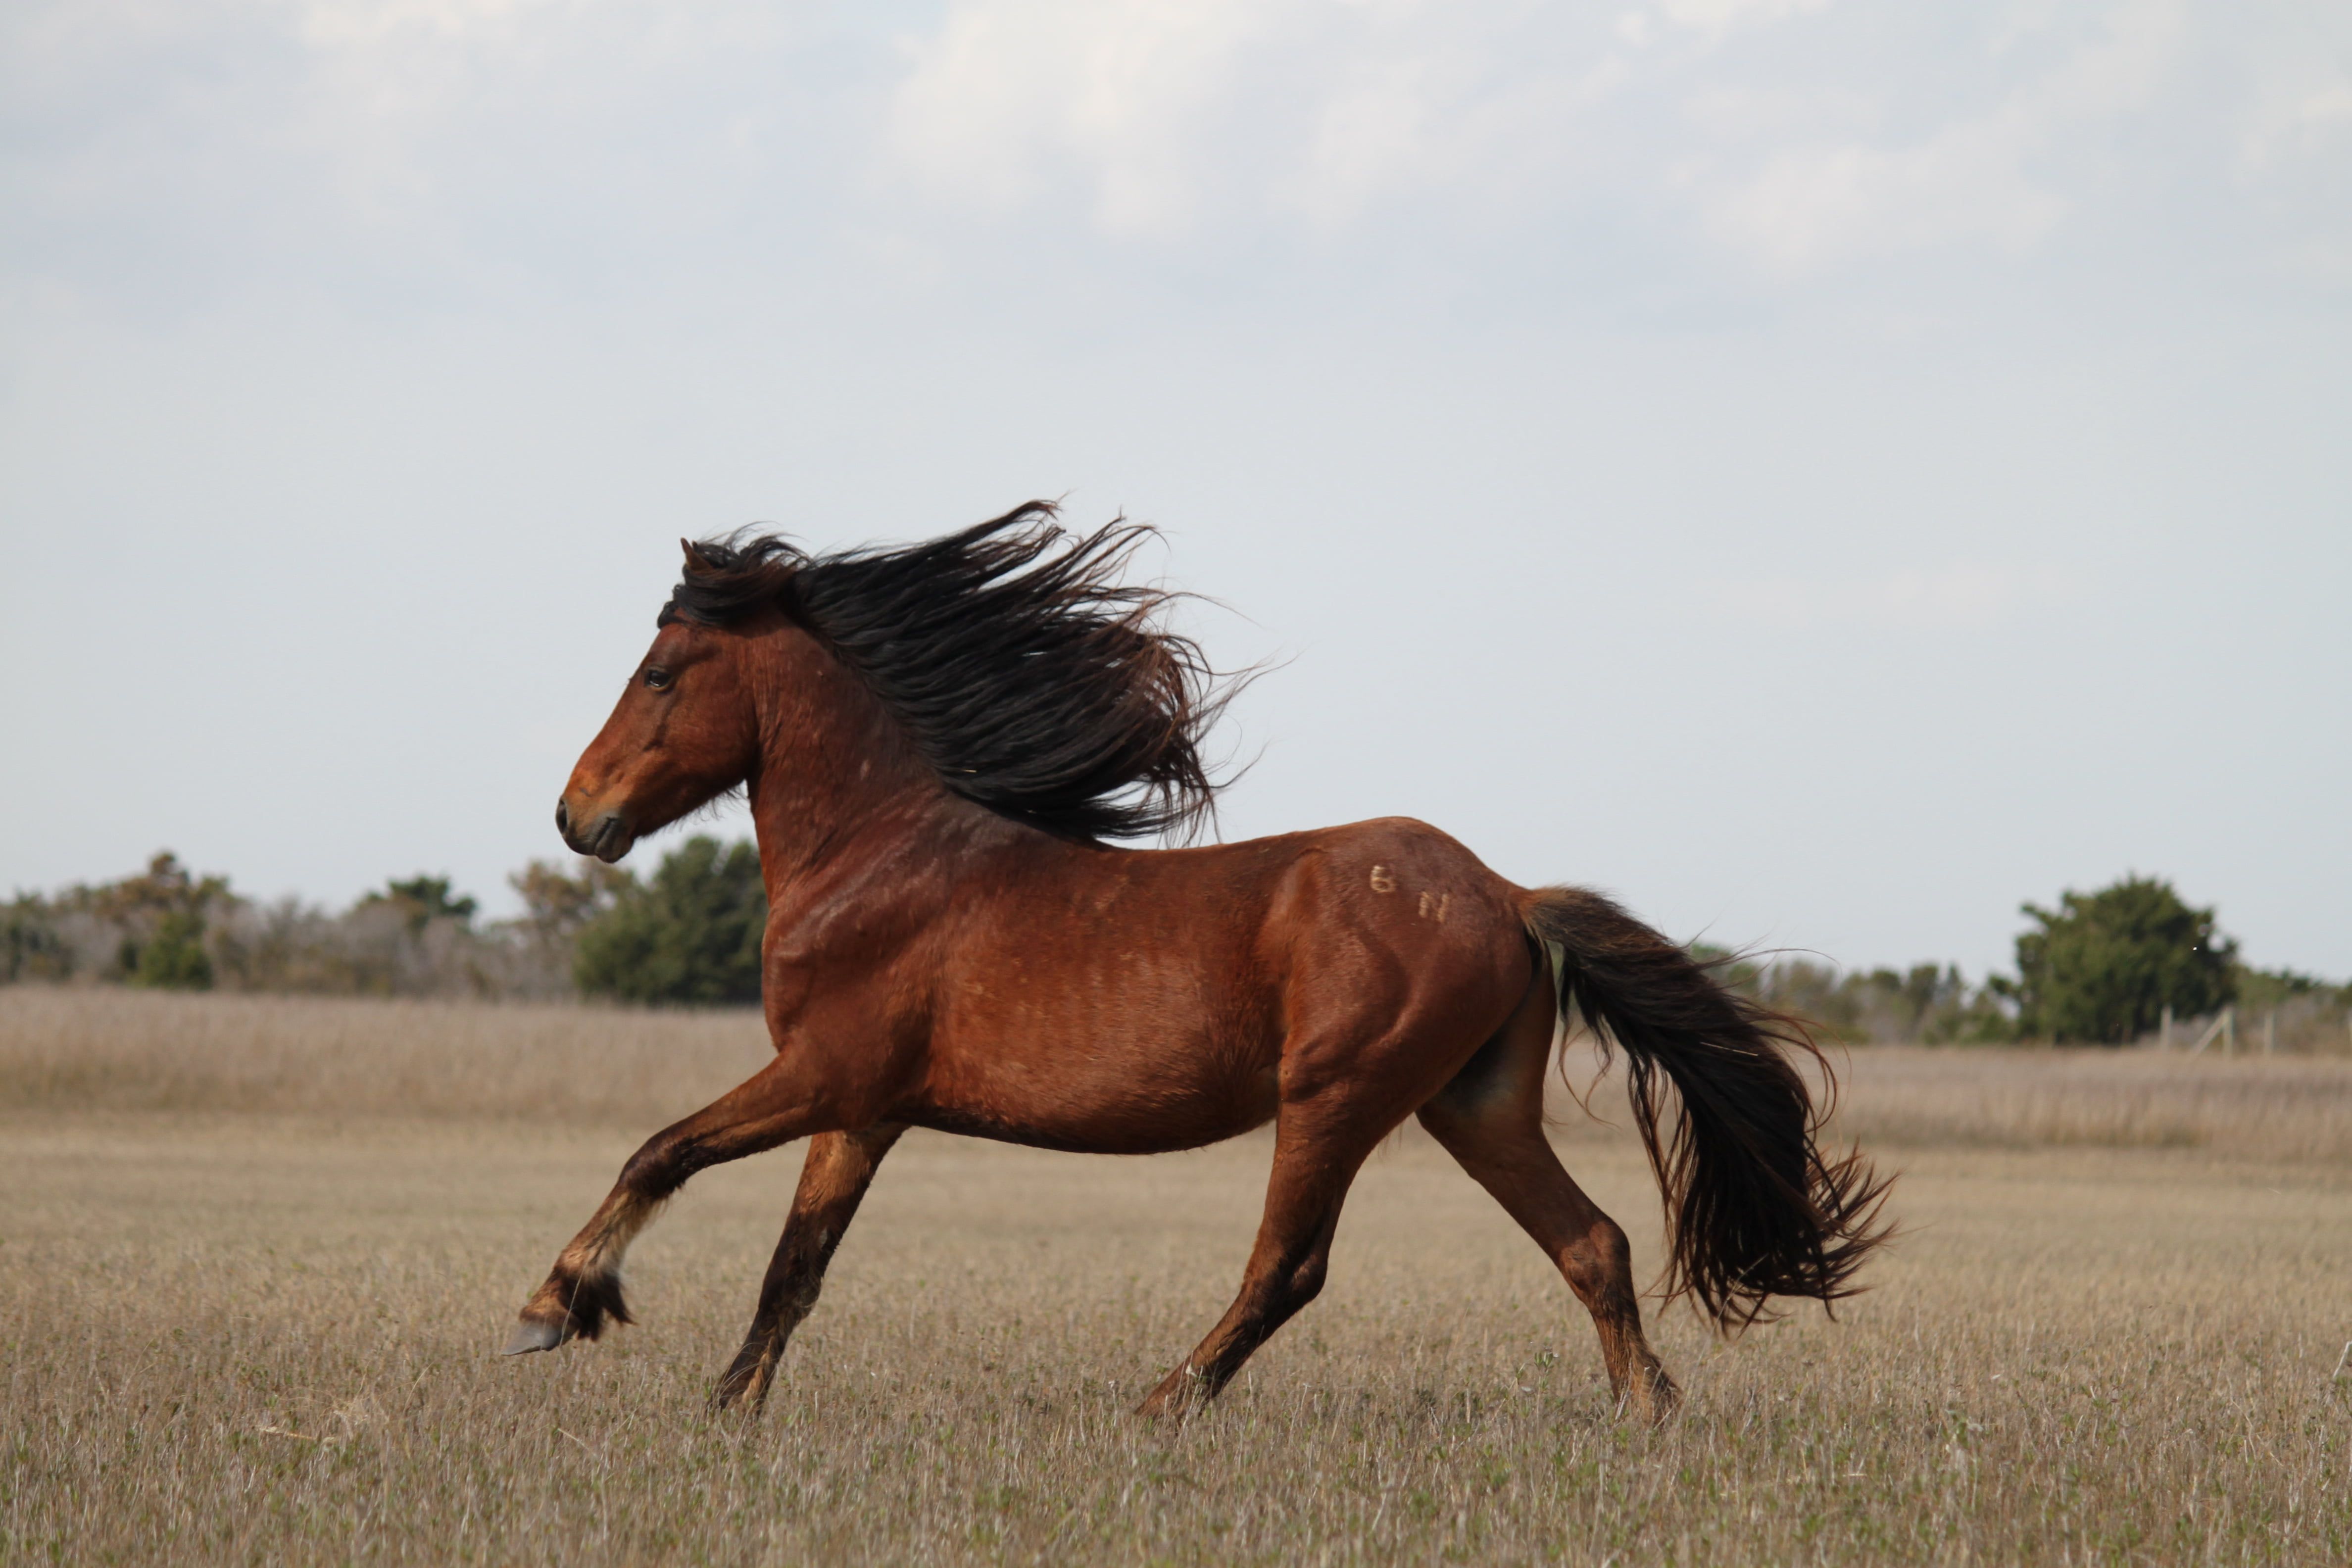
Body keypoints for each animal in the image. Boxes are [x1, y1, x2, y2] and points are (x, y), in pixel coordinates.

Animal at [505, 503, 1881, 1420]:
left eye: (659, 672)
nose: (577, 816)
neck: (877, 858)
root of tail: (1503, 893)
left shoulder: (824, 1074)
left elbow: (661, 1152)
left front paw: (554, 1308)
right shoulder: (863, 1111)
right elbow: (794, 1268)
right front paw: (726, 1409)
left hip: (1333, 1097)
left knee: (1290, 1267)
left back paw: (1160, 1403)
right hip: (1472, 1104)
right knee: (1591, 1243)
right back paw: (1651, 1416)